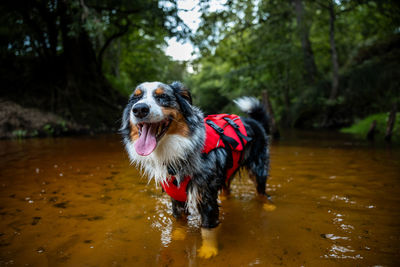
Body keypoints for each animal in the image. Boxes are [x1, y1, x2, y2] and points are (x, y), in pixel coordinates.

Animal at [121, 81, 272, 260]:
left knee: (262, 191)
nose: (139, 109)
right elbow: (179, 225)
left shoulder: (205, 195)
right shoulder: (176, 199)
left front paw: (208, 250)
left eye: (162, 96)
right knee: (227, 189)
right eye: (135, 99)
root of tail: (255, 122)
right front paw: (177, 238)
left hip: (258, 168)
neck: (176, 155)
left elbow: (207, 229)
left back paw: (268, 206)